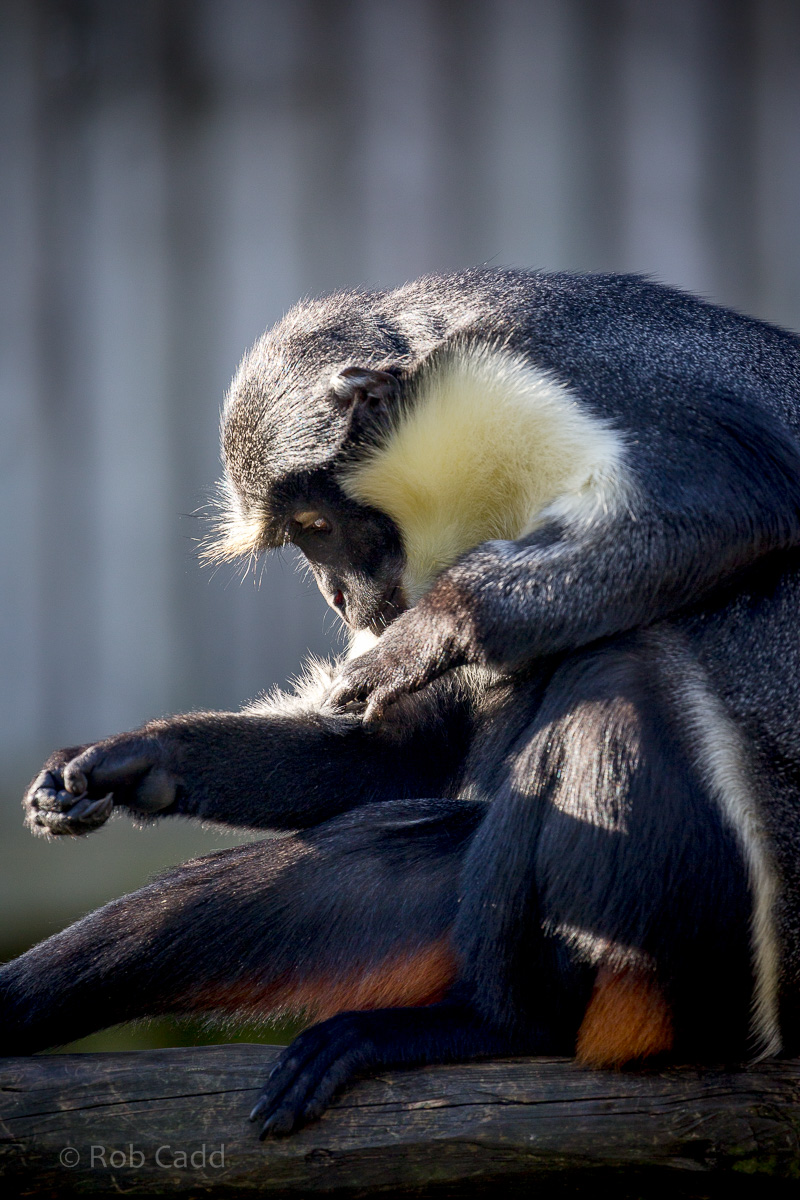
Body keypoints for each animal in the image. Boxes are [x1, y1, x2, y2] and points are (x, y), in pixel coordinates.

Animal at [4, 268, 800, 1138]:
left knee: (623, 670)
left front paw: (428, 631)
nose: (335, 594)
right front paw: (131, 762)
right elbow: (400, 754)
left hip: (713, 962)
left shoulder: (600, 385)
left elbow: (731, 505)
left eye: (316, 523)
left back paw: (505, 1025)